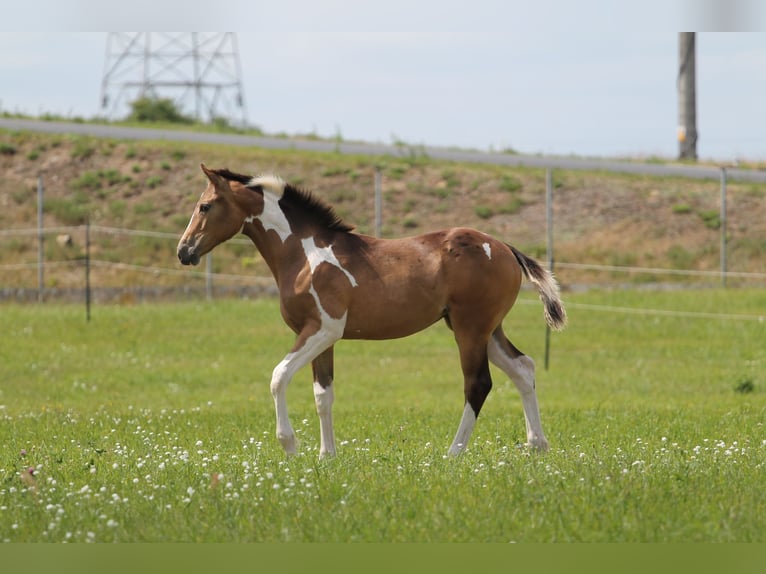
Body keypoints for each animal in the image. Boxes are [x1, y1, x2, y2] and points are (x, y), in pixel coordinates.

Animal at [177, 164, 566, 458]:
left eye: (205, 206)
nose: (184, 251)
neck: (304, 254)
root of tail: (504, 248)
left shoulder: (321, 329)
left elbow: (278, 376)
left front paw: (290, 446)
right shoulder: (322, 338)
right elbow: (323, 394)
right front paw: (327, 456)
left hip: (470, 329)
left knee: (478, 383)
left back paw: (453, 453)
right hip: (485, 329)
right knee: (523, 368)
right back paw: (537, 445)